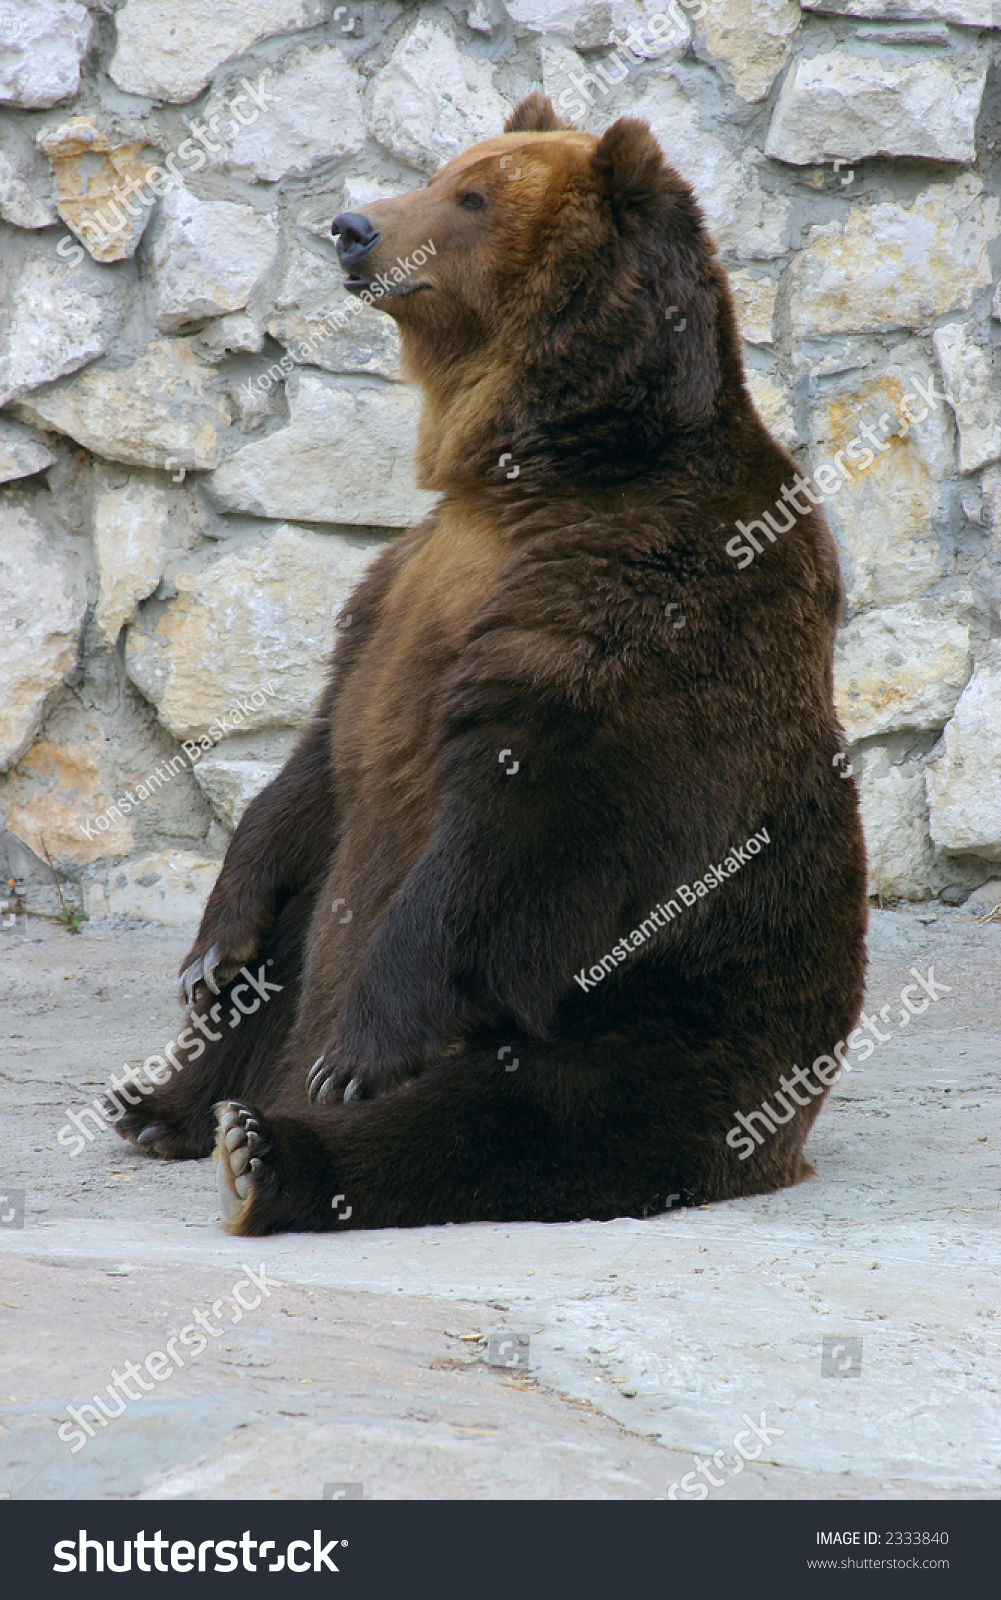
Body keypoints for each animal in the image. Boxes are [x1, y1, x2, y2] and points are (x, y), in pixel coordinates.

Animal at [105, 90, 863, 1235]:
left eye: (470, 196)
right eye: (438, 170)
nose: (352, 227)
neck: (531, 466)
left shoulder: (642, 600)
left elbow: (523, 825)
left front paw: (354, 1054)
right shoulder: (399, 592)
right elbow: (314, 766)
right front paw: (212, 943)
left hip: (688, 1009)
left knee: (521, 1112)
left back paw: (273, 1147)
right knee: (290, 960)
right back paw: (165, 1104)